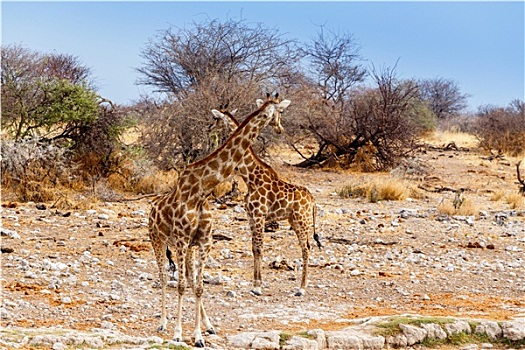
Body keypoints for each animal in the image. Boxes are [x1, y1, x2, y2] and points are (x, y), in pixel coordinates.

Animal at [148, 93, 290, 348]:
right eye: (279, 112)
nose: (280, 128)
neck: (201, 191)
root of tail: (152, 207)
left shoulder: (203, 241)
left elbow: (199, 286)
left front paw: (198, 336)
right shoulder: (182, 240)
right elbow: (181, 286)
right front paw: (178, 333)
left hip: (187, 248)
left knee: (189, 280)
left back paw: (209, 325)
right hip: (158, 240)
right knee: (164, 278)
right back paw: (163, 323)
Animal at [211, 103, 322, 296]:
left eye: (216, 118)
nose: (210, 129)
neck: (249, 177)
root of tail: (313, 201)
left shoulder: (259, 215)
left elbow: (259, 247)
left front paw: (258, 286)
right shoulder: (250, 216)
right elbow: (254, 248)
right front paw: (255, 283)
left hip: (303, 221)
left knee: (306, 248)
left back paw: (302, 288)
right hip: (294, 220)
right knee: (306, 246)